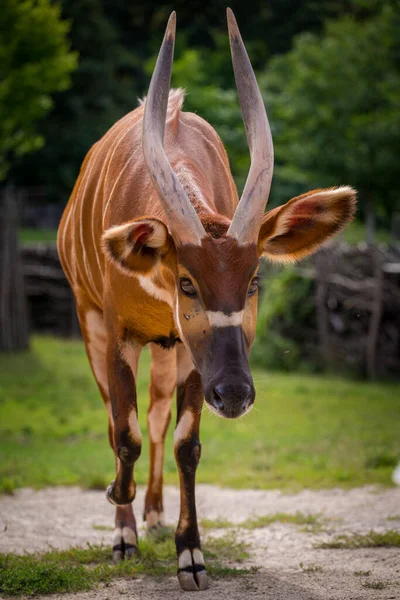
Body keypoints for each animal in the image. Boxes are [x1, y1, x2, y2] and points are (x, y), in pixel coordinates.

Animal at [57, 9, 356, 592]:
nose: (235, 393)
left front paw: (190, 555)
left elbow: (185, 444)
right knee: (118, 418)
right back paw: (130, 521)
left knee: (155, 417)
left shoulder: (194, 359)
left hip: (171, 351)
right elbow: (122, 432)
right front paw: (120, 520)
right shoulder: (118, 335)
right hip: (92, 323)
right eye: (187, 281)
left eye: (254, 279)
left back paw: (152, 514)